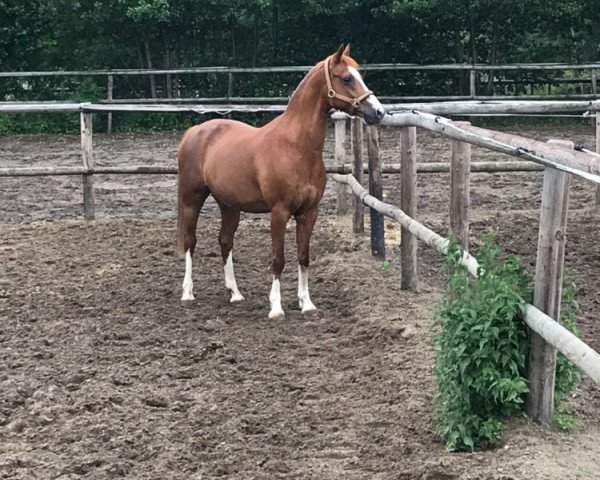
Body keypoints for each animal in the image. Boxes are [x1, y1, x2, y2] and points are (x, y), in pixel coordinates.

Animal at [177, 43, 384, 316]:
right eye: (347, 78)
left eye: (360, 75)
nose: (379, 112)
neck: (296, 147)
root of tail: (194, 131)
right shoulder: (279, 211)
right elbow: (278, 259)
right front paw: (276, 307)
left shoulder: (309, 212)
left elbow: (303, 256)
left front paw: (307, 303)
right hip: (192, 199)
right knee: (190, 242)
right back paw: (187, 293)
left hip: (229, 205)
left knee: (225, 241)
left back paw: (235, 293)